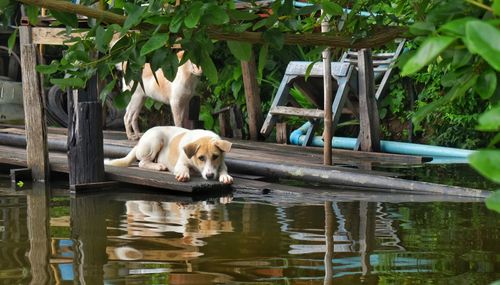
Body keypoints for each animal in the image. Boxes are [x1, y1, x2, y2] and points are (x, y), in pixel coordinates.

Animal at [104, 125, 233, 183]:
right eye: (201, 158)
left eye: (215, 156)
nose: (210, 176)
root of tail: (138, 144)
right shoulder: (181, 163)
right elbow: (184, 168)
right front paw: (184, 173)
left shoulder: (222, 162)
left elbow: (223, 168)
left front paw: (225, 176)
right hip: (155, 139)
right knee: (142, 162)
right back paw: (159, 166)